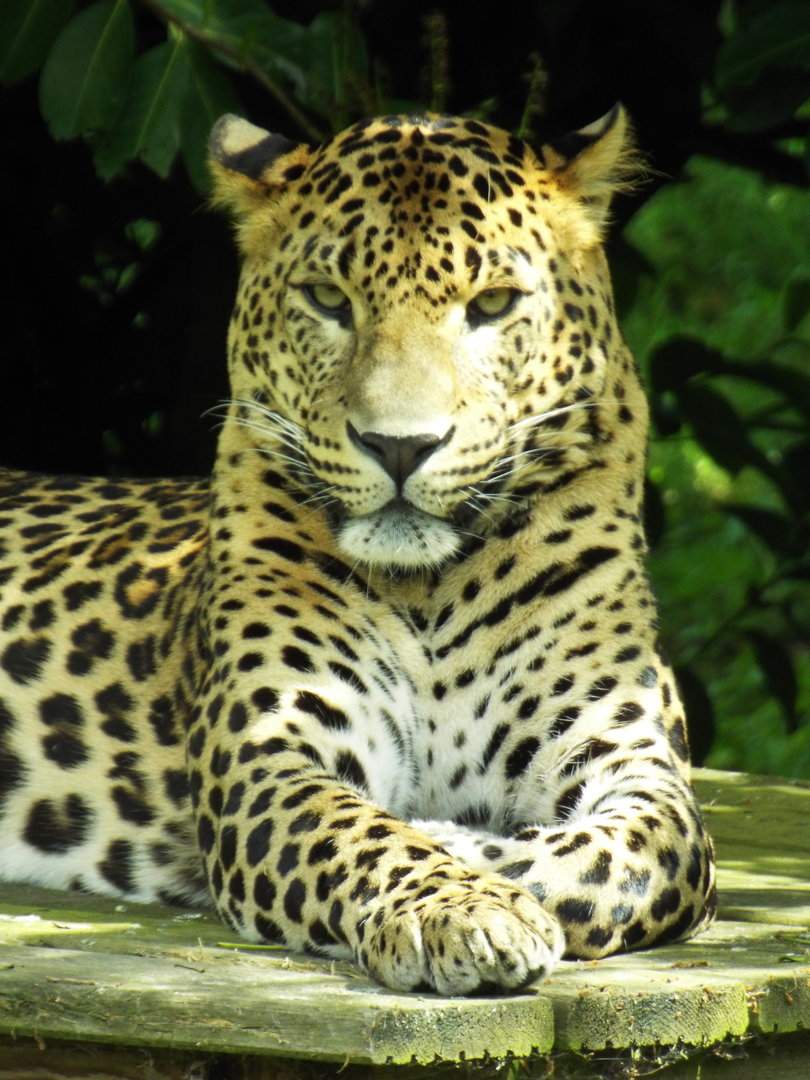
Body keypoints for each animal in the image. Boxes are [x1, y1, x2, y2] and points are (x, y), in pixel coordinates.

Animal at [0, 106, 716, 997]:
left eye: (493, 303)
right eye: (326, 298)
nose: (400, 446)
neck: (432, 588)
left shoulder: (631, 757)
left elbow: (640, 863)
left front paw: (470, 852)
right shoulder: (272, 752)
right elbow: (360, 835)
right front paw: (462, 909)